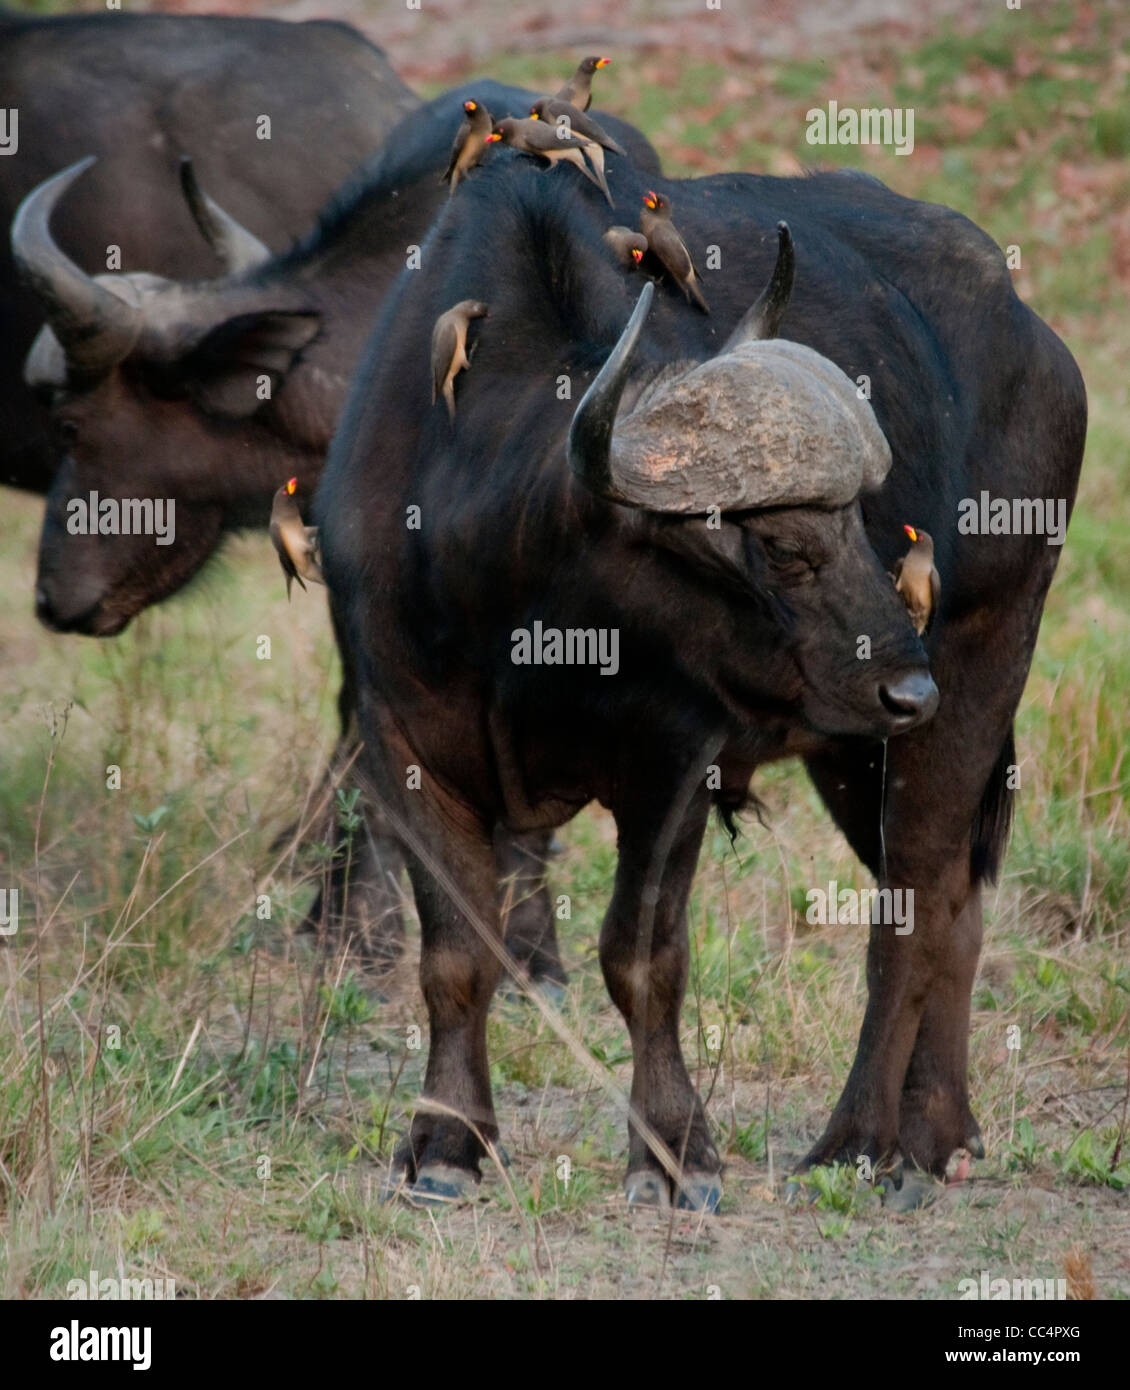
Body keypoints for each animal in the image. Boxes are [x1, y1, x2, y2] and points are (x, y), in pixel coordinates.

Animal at [318, 150, 1085, 1208]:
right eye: (783, 544)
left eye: (860, 523)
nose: (907, 692)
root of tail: (1038, 341)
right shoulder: (401, 741)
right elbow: (456, 957)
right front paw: (445, 1143)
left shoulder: (677, 759)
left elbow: (644, 960)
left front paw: (676, 1151)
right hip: (857, 750)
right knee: (958, 907)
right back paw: (937, 1135)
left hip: (984, 660)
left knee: (915, 905)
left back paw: (856, 1142)